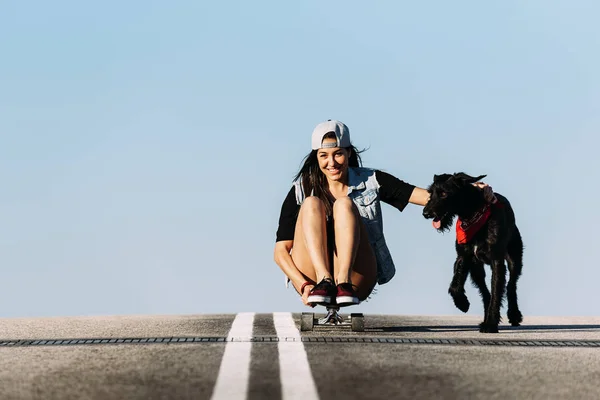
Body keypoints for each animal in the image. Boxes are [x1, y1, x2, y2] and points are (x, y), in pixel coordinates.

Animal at [422, 173, 524, 332]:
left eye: (444, 193)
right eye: (430, 193)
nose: (425, 213)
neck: (473, 214)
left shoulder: (497, 261)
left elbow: (497, 291)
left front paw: (490, 324)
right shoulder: (463, 257)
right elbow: (455, 285)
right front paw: (462, 303)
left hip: (515, 258)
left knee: (510, 285)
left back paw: (513, 314)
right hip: (476, 269)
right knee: (485, 291)